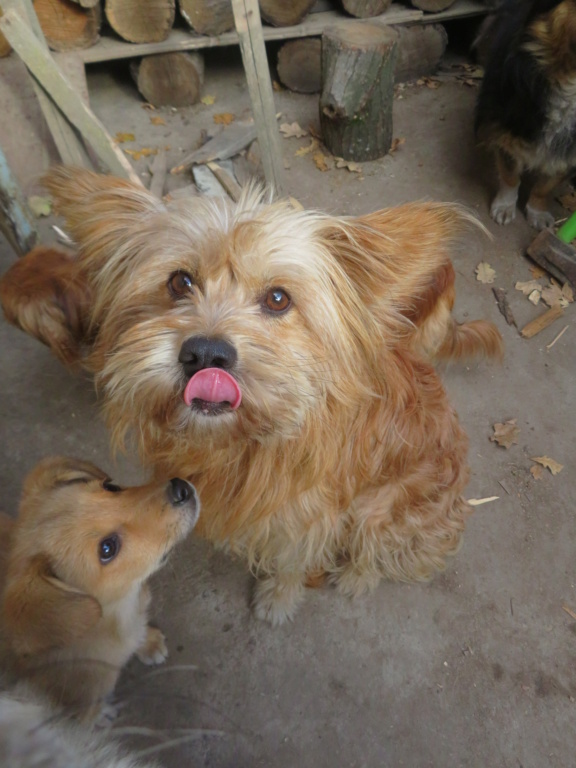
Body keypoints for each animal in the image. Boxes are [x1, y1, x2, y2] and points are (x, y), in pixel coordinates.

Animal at [0, 166, 502, 624]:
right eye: (180, 282)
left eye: (279, 298)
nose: (205, 353)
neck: (242, 446)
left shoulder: (307, 523)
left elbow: (292, 563)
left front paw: (278, 599)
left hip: (379, 508)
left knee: (375, 548)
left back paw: (357, 576)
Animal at [474, 0, 576, 228]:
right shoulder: (505, 131)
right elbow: (510, 175)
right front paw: (505, 206)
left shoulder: (568, 153)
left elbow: (545, 185)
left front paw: (537, 211)